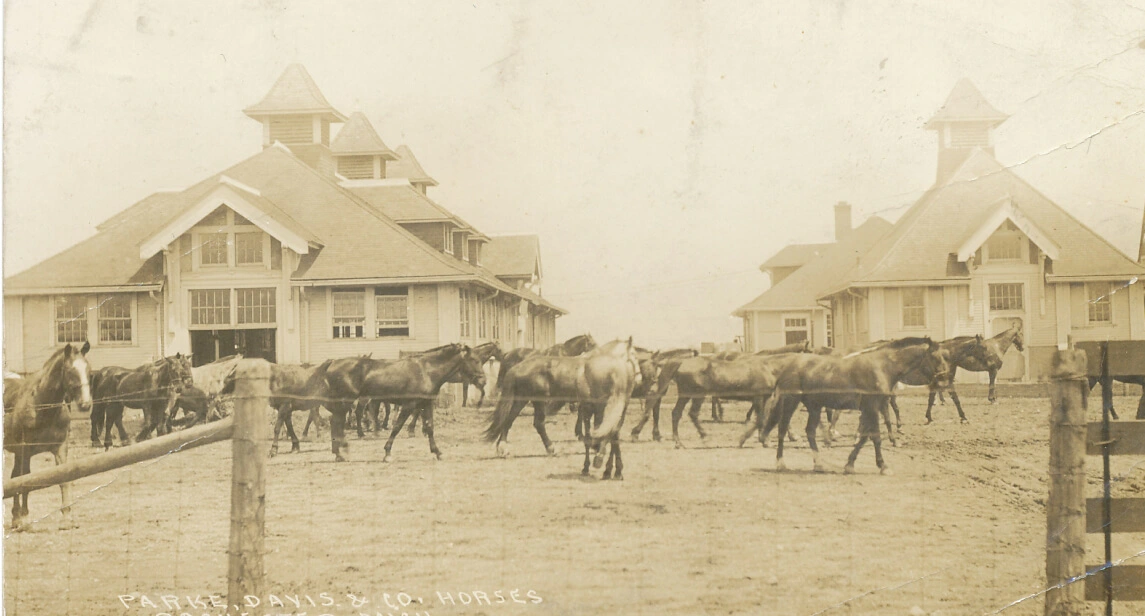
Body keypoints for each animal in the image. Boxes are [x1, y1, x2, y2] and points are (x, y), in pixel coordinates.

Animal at [3, 341, 92, 526]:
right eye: (71, 372)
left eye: (89, 370)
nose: (85, 404)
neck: (41, 406)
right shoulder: (26, 450)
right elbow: (26, 480)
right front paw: (24, 516)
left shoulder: (60, 447)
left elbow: (63, 478)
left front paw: (67, 516)